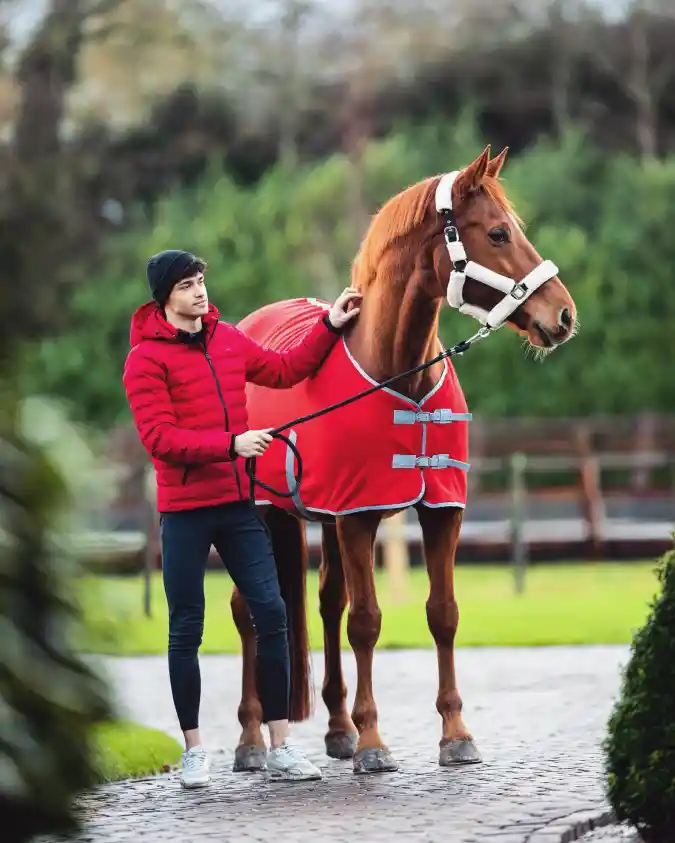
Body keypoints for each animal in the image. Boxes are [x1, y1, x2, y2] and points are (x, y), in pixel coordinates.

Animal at [229, 145, 578, 775]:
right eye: (497, 232)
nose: (562, 315)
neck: (399, 370)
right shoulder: (359, 516)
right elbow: (368, 622)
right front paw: (373, 742)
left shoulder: (439, 511)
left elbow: (442, 613)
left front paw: (455, 734)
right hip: (262, 515)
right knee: (250, 610)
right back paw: (250, 739)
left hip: (326, 520)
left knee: (326, 603)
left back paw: (337, 729)